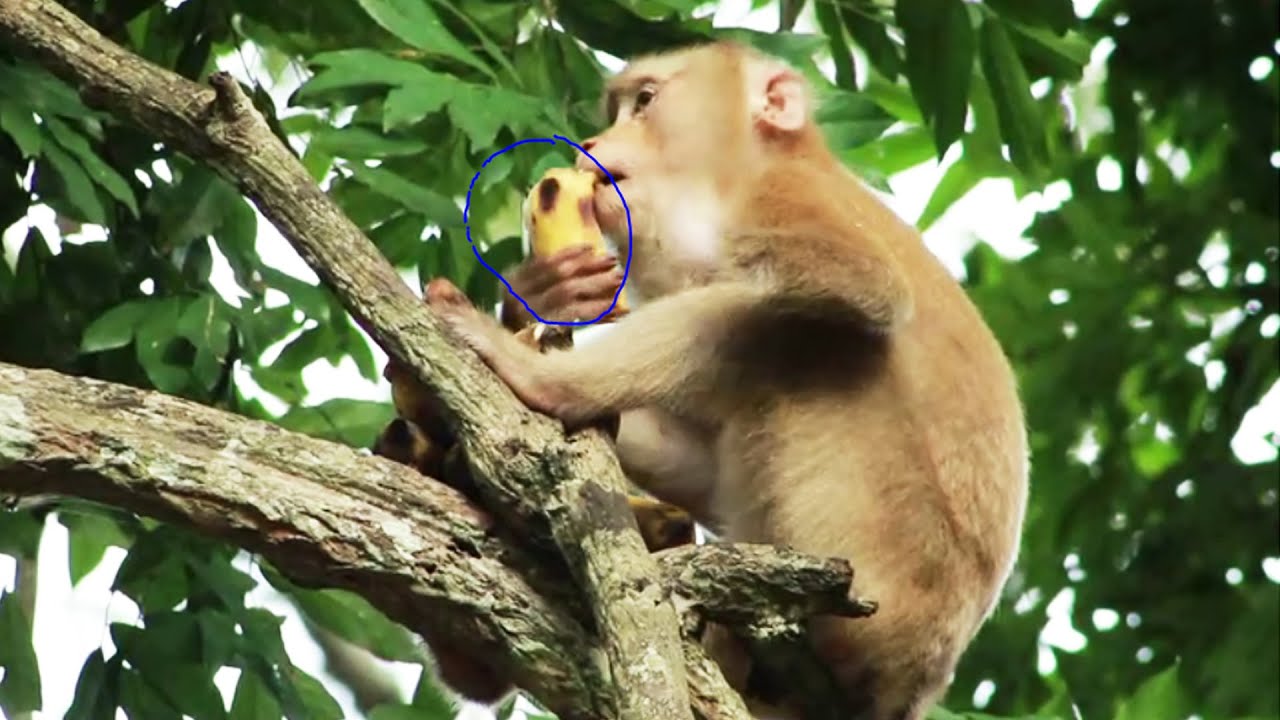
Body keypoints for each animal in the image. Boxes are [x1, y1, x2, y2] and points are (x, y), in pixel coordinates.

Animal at [424, 41, 1029, 720]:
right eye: (619, 109)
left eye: (646, 101)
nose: (594, 142)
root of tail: (910, 688)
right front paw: (545, 291)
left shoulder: (780, 198)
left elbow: (856, 285)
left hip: (869, 567)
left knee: (785, 333)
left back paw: (542, 381)